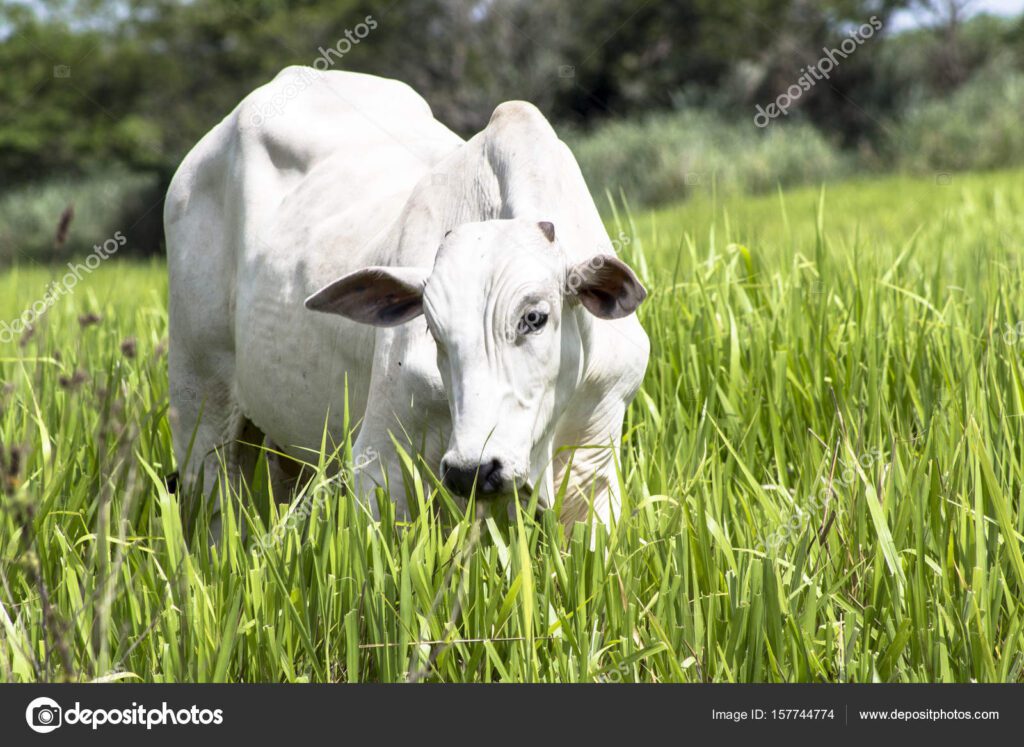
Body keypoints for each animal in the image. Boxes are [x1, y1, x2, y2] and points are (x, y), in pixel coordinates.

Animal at [165, 65, 647, 528]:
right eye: (432, 329)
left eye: (535, 317)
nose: (473, 470)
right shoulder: (381, 465)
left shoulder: (593, 469)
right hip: (200, 413)